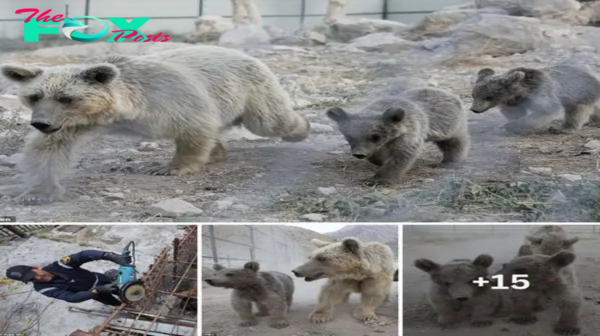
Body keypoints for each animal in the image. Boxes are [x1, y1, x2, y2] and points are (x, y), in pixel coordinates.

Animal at [3, 44, 314, 205]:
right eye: (34, 96)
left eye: (65, 97)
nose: (41, 123)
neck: (125, 109)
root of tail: (244, 53)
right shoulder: (75, 124)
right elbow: (49, 150)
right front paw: (37, 192)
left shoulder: (168, 97)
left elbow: (193, 126)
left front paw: (169, 168)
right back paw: (217, 151)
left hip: (249, 90)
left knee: (269, 120)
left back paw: (301, 128)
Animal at [326, 86, 472, 185]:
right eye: (349, 136)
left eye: (374, 136)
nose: (359, 153)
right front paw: (378, 162)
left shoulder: (408, 136)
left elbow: (399, 158)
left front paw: (378, 179)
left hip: (449, 126)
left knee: (454, 142)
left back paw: (448, 161)